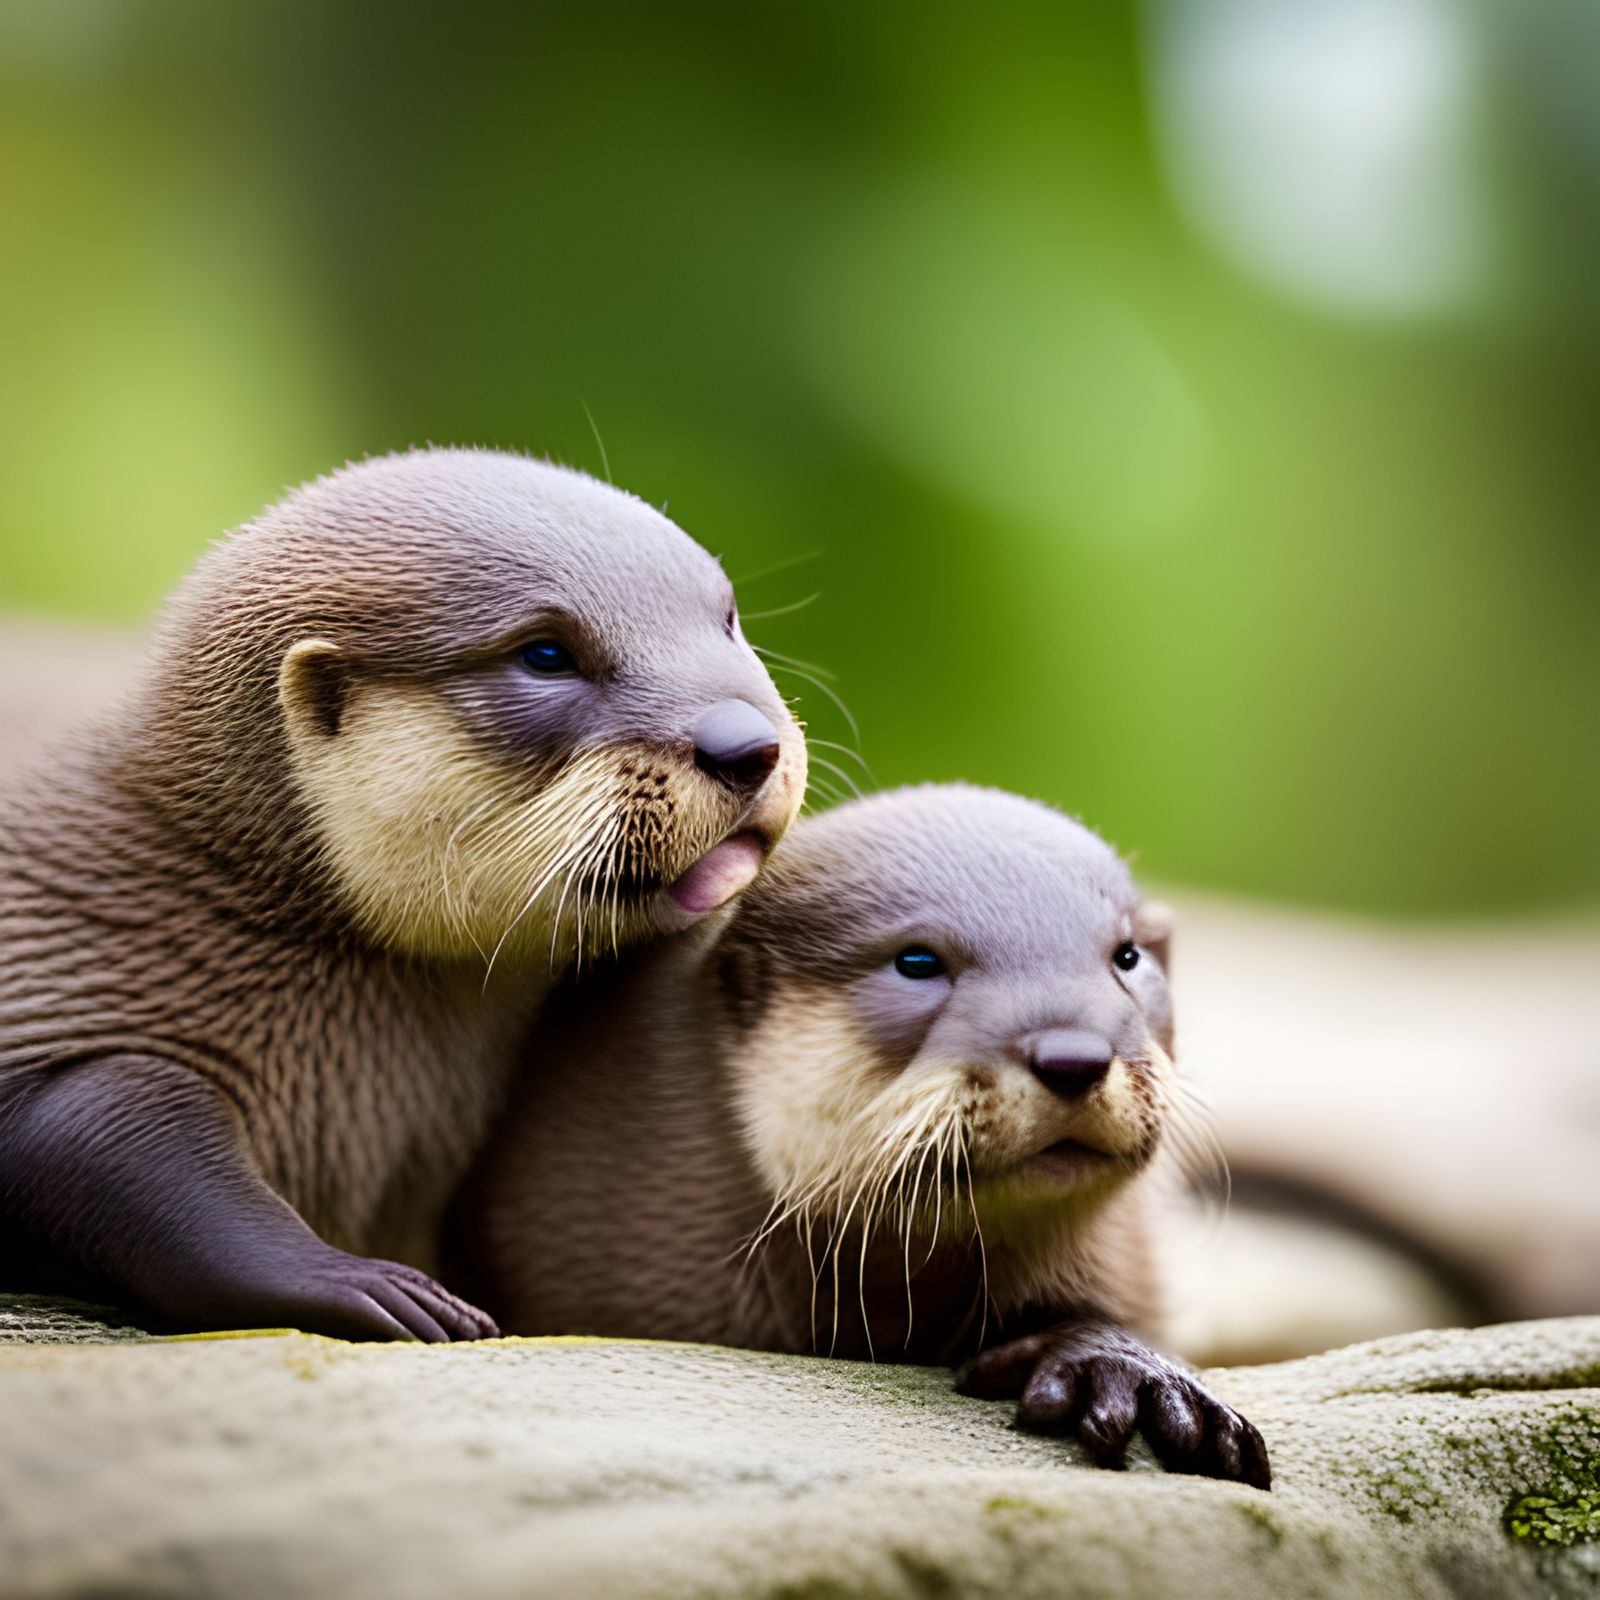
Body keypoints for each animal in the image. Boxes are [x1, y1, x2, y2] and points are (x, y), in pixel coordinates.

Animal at [0, 448, 805, 1341]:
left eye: (726, 618)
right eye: (544, 655)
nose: (746, 744)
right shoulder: (63, 966)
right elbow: (94, 1127)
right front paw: (365, 1282)